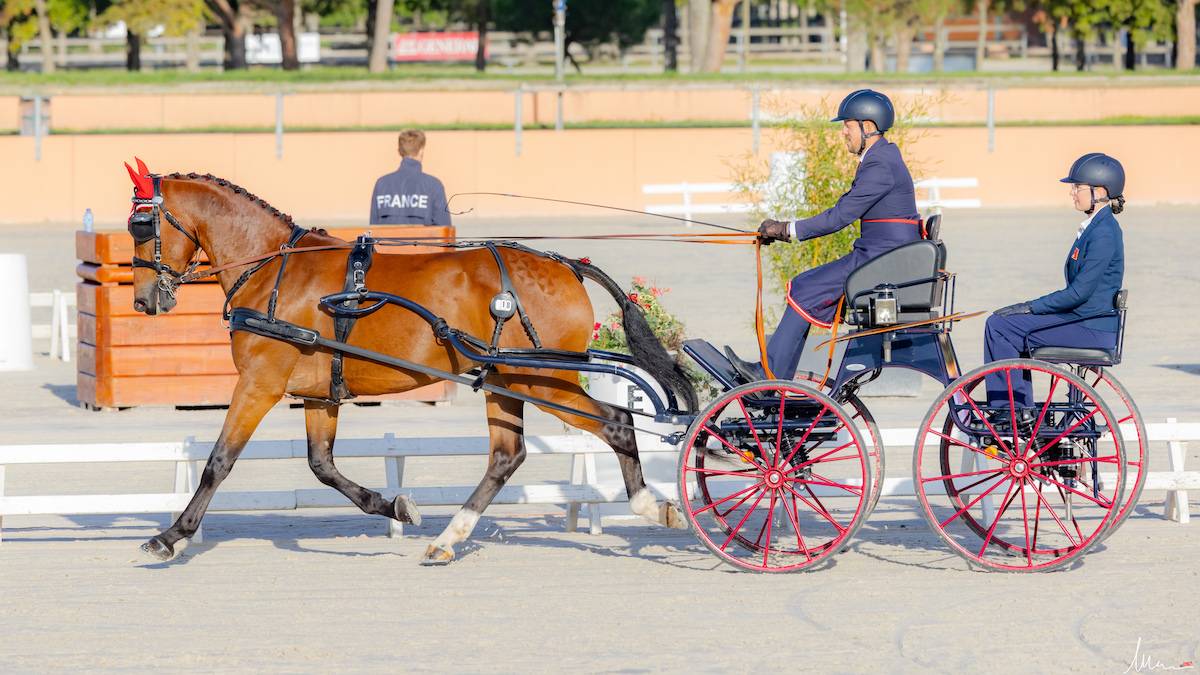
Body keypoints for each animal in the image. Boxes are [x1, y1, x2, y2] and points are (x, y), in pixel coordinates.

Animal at [122, 159, 698, 565]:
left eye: (142, 226)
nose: (144, 301)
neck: (273, 269)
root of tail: (566, 265)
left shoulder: (260, 384)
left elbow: (219, 462)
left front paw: (171, 536)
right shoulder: (317, 393)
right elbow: (322, 465)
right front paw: (395, 506)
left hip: (541, 379)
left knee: (617, 423)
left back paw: (650, 505)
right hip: (507, 380)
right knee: (506, 457)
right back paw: (448, 538)